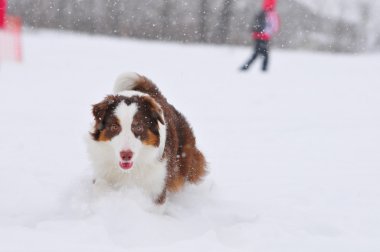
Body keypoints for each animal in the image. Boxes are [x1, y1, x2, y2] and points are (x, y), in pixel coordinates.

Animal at [86, 72, 206, 204]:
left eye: (138, 127)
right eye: (114, 127)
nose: (126, 155)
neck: (128, 171)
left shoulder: (157, 188)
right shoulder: (102, 174)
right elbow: (101, 188)